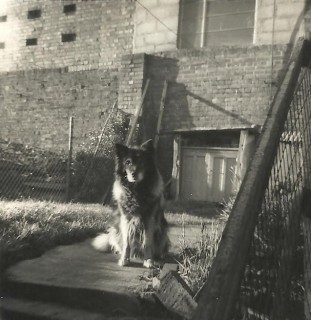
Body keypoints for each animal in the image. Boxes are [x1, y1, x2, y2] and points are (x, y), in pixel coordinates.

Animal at [92, 140, 171, 268]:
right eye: (127, 162)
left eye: (141, 161)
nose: (133, 174)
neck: (136, 190)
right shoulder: (126, 218)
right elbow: (126, 242)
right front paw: (125, 259)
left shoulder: (149, 219)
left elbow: (147, 242)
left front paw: (148, 260)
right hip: (116, 228)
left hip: (162, 231)